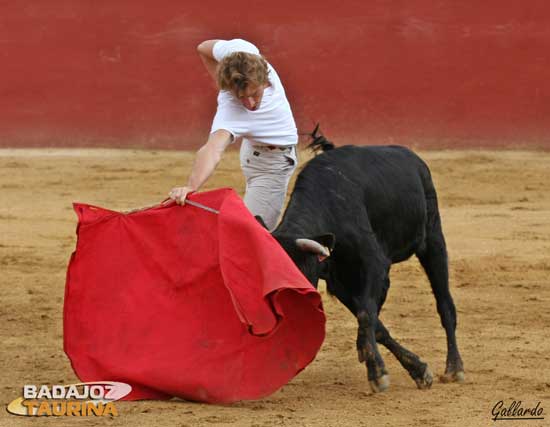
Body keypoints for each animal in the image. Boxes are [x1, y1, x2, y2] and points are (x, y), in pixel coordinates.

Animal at [264, 132, 466, 392]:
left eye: (296, 274)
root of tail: (414, 159)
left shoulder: (373, 263)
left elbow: (366, 314)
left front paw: (377, 372)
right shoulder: (338, 281)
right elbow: (374, 321)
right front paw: (415, 369)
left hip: (433, 239)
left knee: (445, 304)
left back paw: (454, 367)